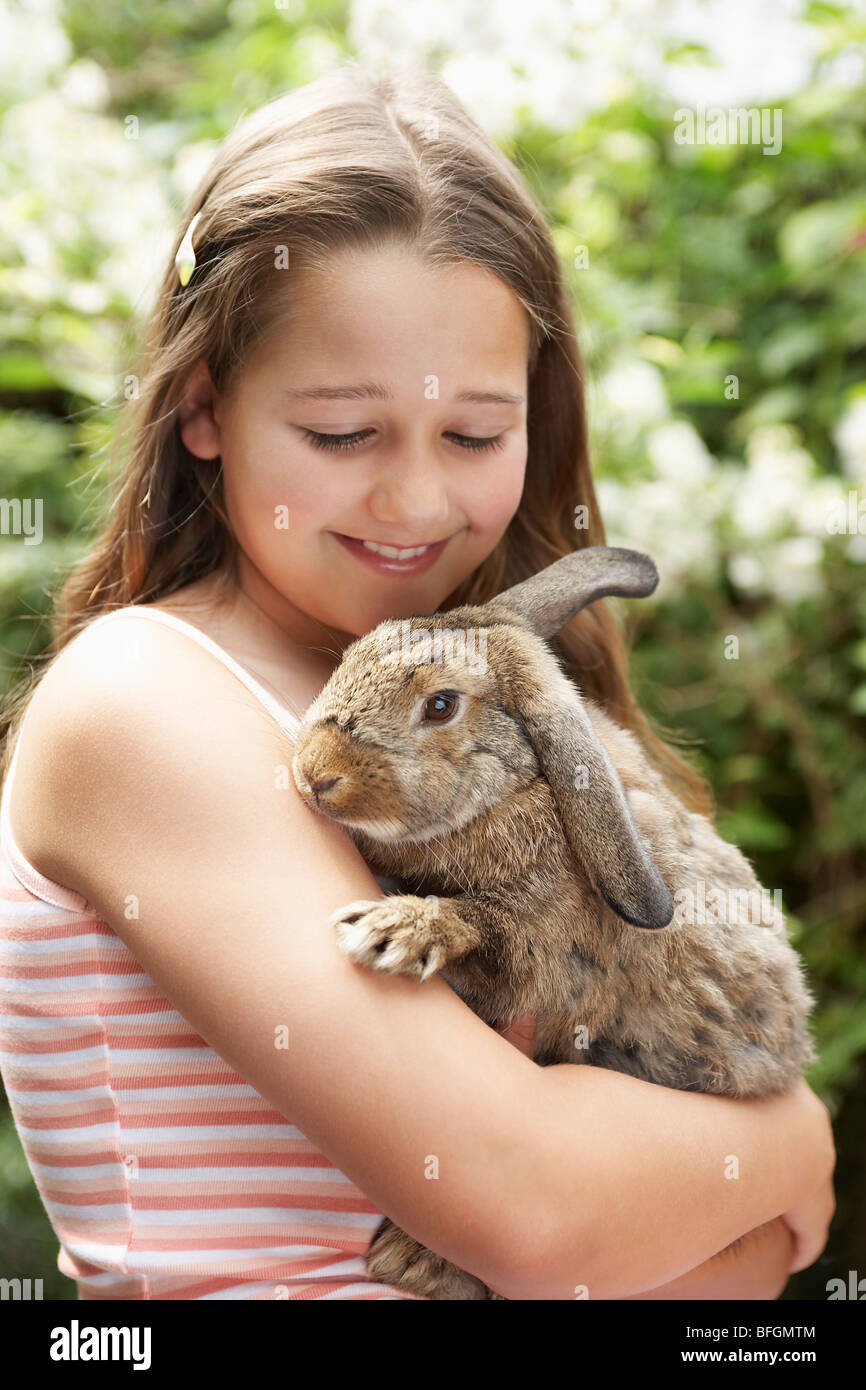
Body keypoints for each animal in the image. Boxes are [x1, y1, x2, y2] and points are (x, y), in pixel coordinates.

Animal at [291, 545, 816, 1300]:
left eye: (441, 705)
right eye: (352, 655)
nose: (315, 774)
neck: (516, 789)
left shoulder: (543, 965)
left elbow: (485, 927)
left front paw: (393, 933)